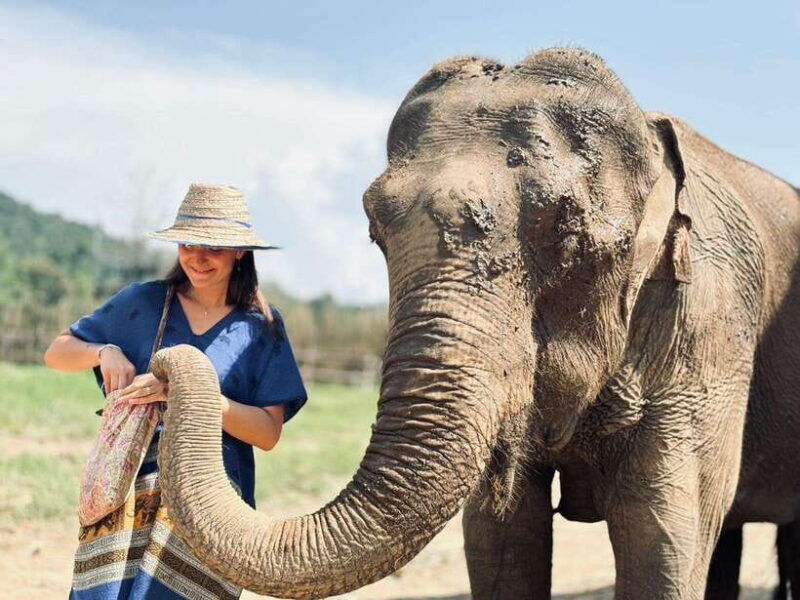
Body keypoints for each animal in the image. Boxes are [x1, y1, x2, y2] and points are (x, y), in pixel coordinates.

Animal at [149, 47, 800, 599]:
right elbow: (500, 537)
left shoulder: (707, 325)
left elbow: (659, 534)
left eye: (567, 229)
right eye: (374, 230)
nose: (160, 365)